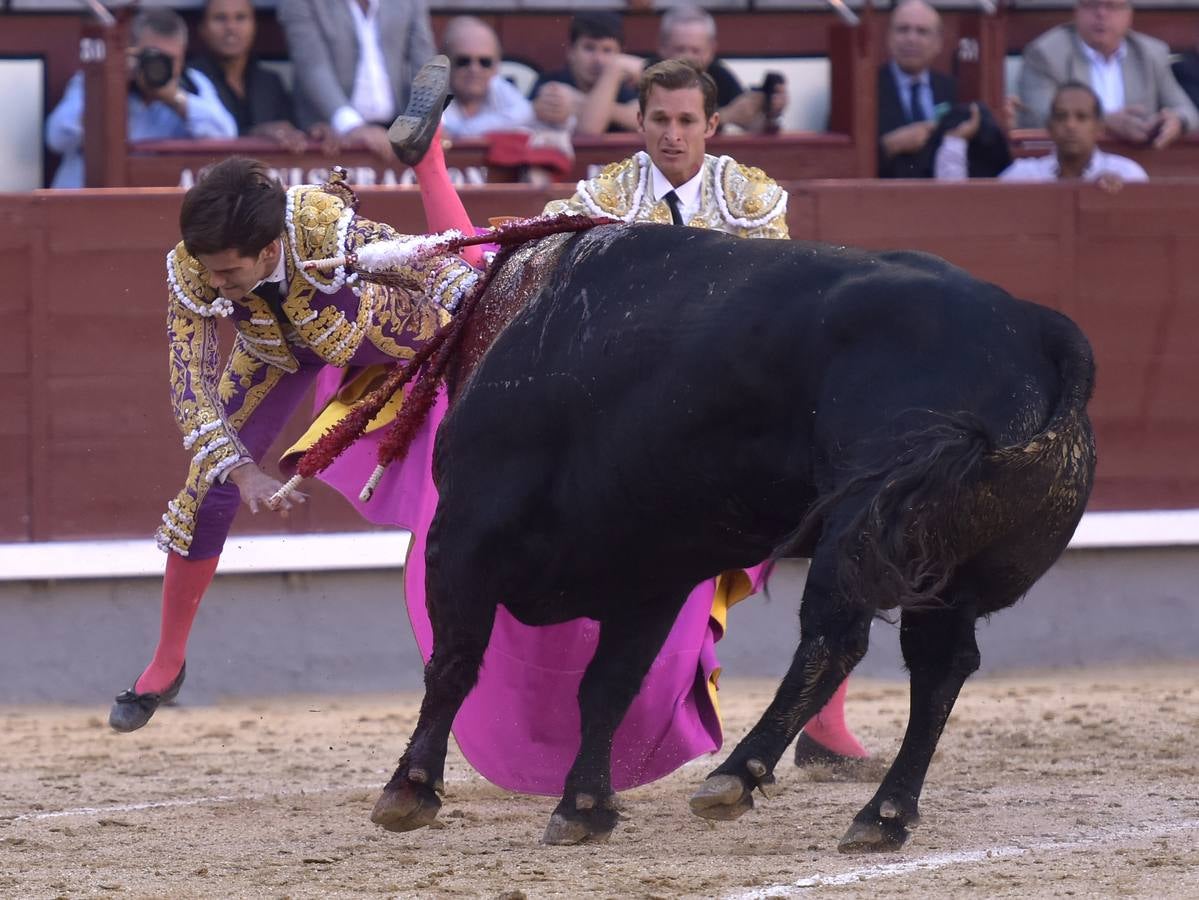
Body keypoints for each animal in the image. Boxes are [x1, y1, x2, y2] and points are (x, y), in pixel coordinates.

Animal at [366, 224, 1098, 853]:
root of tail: (1036, 327)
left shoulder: (462, 536)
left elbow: (454, 662)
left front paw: (409, 790)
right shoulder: (649, 574)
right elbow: (608, 686)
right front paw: (584, 807)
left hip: (856, 530)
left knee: (834, 639)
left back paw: (736, 776)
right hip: (948, 575)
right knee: (939, 667)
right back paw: (882, 815)